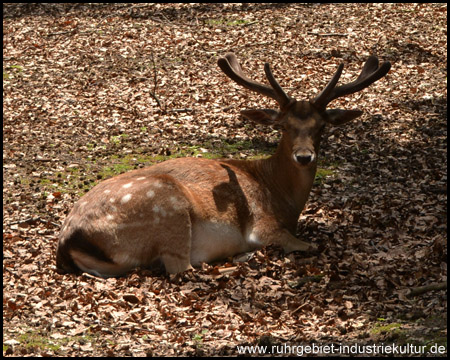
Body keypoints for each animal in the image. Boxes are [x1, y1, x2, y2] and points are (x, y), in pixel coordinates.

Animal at [56, 52, 390, 278]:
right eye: (283, 126)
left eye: (322, 127)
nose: (304, 156)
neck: (281, 197)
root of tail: (69, 240)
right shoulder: (264, 226)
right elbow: (306, 245)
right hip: (168, 210)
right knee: (181, 267)